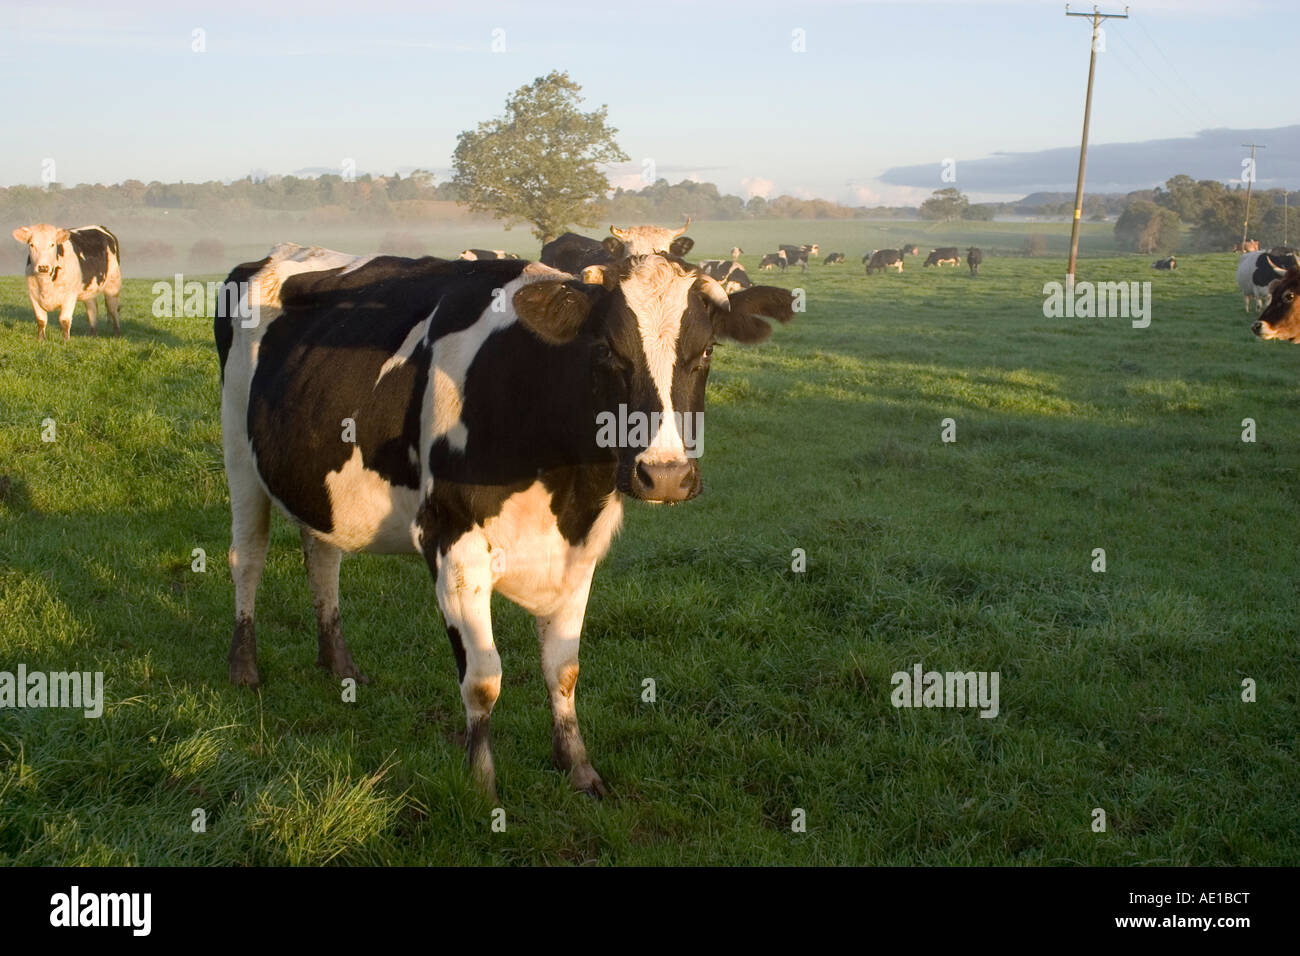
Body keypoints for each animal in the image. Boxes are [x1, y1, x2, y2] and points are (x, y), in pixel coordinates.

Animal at [215, 241, 796, 799]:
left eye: (707, 351)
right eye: (607, 350)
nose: (667, 475)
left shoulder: (580, 549)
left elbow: (564, 669)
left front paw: (578, 768)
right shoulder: (452, 542)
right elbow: (483, 679)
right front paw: (482, 784)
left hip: (316, 479)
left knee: (322, 555)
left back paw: (339, 663)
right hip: (239, 457)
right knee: (248, 557)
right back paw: (243, 667)